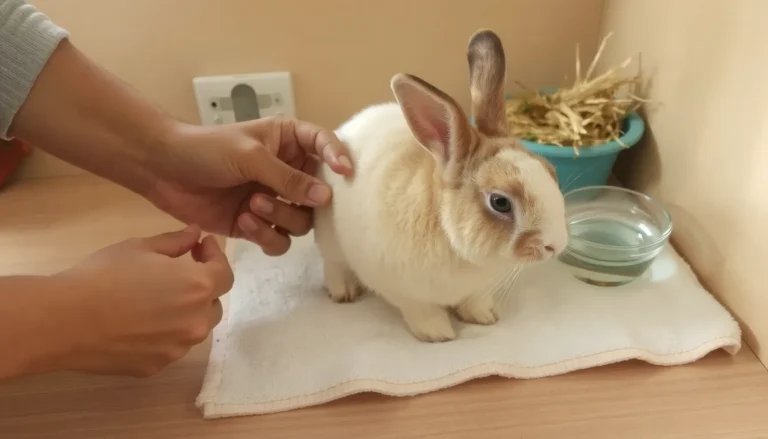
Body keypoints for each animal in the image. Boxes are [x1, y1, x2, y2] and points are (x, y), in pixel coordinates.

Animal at [313, 29, 568, 342]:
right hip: (329, 238)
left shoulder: (474, 289)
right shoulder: (403, 290)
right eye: (500, 202)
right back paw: (344, 292)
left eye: (551, 172)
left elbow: (474, 300)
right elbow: (421, 310)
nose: (557, 245)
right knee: (333, 264)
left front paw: (485, 316)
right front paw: (439, 334)